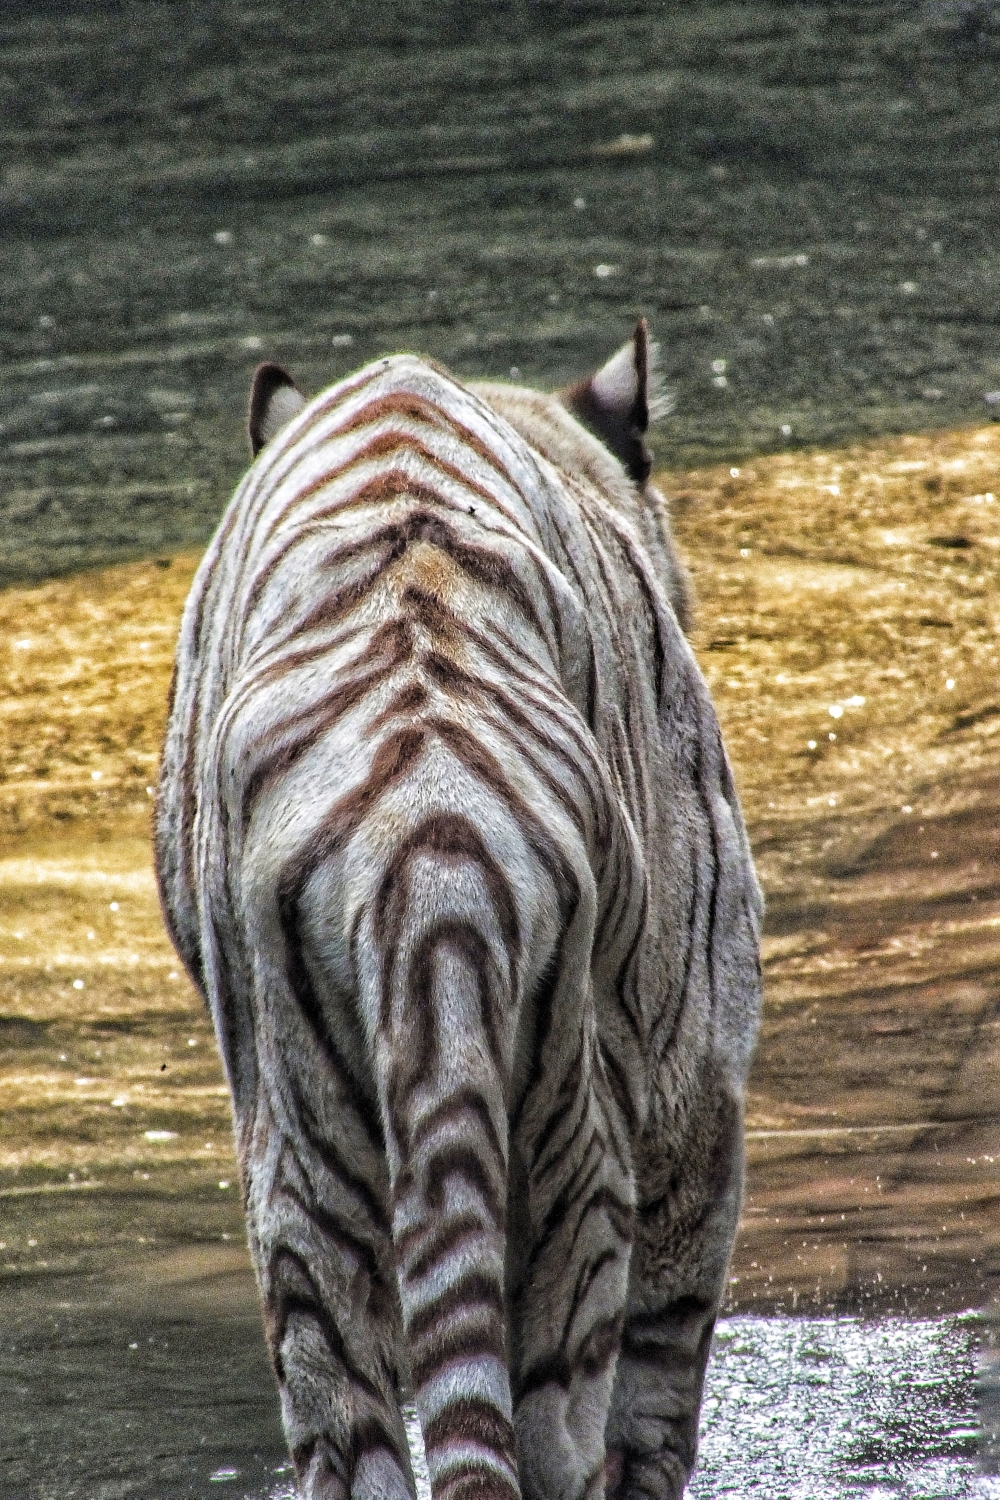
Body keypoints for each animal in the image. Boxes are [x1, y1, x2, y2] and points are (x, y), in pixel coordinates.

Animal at [155, 320, 763, 1500]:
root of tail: (429, 846)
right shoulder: (695, 1074)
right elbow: (664, 1380)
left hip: (304, 1154)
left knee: (346, 1408)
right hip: (578, 1147)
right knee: (558, 1420)